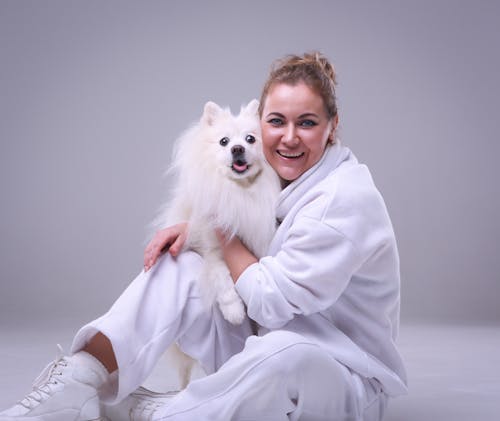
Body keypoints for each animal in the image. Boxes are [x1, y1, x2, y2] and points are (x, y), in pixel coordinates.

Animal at [155, 99, 282, 388]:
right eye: (224, 142)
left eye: (250, 139)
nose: (237, 149)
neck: (241, 192)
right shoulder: (211, 247)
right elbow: (221, 276)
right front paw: (234, 310)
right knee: (184, 373)